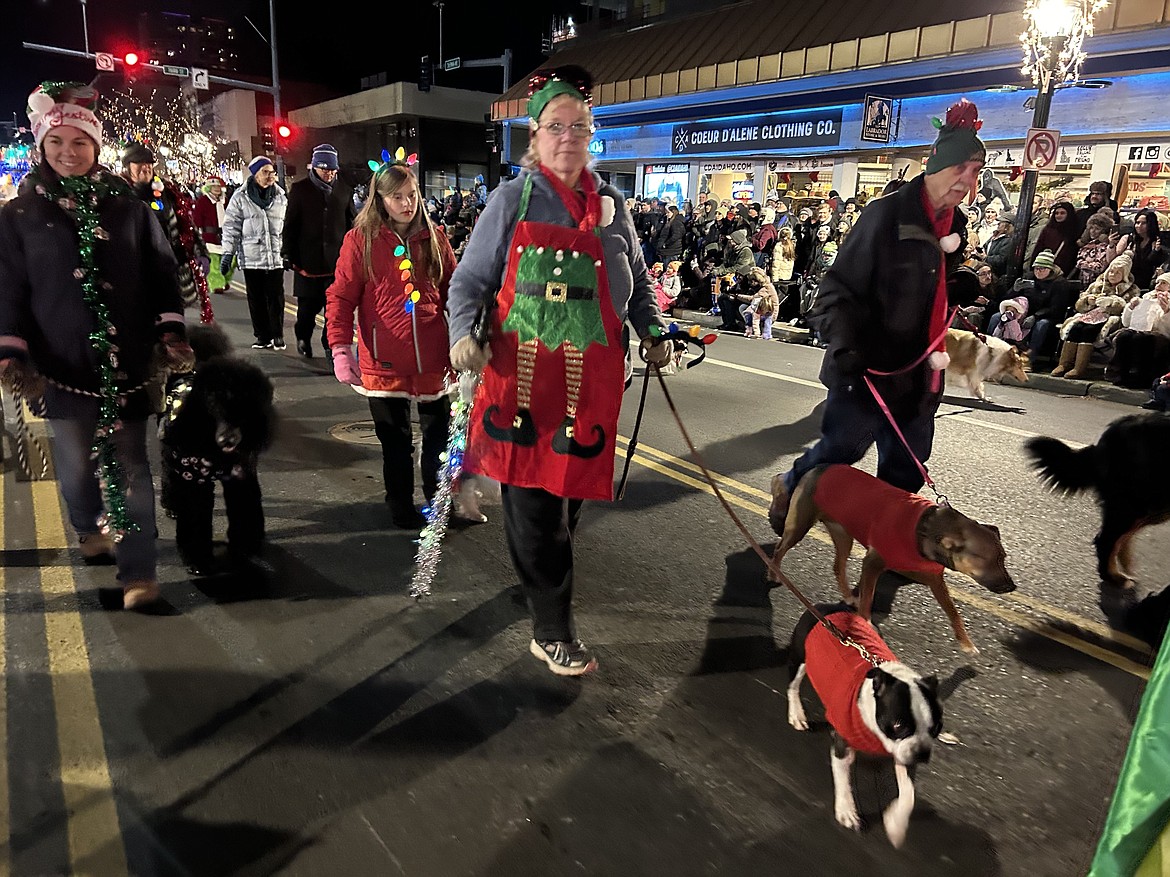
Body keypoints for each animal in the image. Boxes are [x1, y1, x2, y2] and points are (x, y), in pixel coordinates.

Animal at [159, 325, 274, 577]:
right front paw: (197, 560)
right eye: (212, 405)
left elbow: (245, 507)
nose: (227, 438)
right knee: (168, 475)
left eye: (246, 407)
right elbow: (195, 514)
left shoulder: (242, 476)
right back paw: (171, 505)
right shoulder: (192, 479)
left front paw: (245, 545)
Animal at [767, 467, 1015, 654]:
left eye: (1003, 558)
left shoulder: (935, 579)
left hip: (843, 534)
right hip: (799, 526)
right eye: (988, 560)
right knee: (779, 550)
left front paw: (966, 643)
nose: (1011, 586)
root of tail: (819, 467)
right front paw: (866, 627)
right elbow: (868, 599)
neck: (923, 531)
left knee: (838, 566)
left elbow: (953, 613)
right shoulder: (872, 564)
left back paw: (848, 596)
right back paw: (773, 572)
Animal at [786, 608, 940, 846]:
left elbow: (909, 794)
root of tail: (830, 606)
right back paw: (796, 713)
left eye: (936, 729)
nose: (923, 752)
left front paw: (895, 824)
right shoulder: (843, 748)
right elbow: (844, 781)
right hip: (801, 658)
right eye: (898, 725)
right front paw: (847, 811)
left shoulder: (904, 752)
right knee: (793, 685)